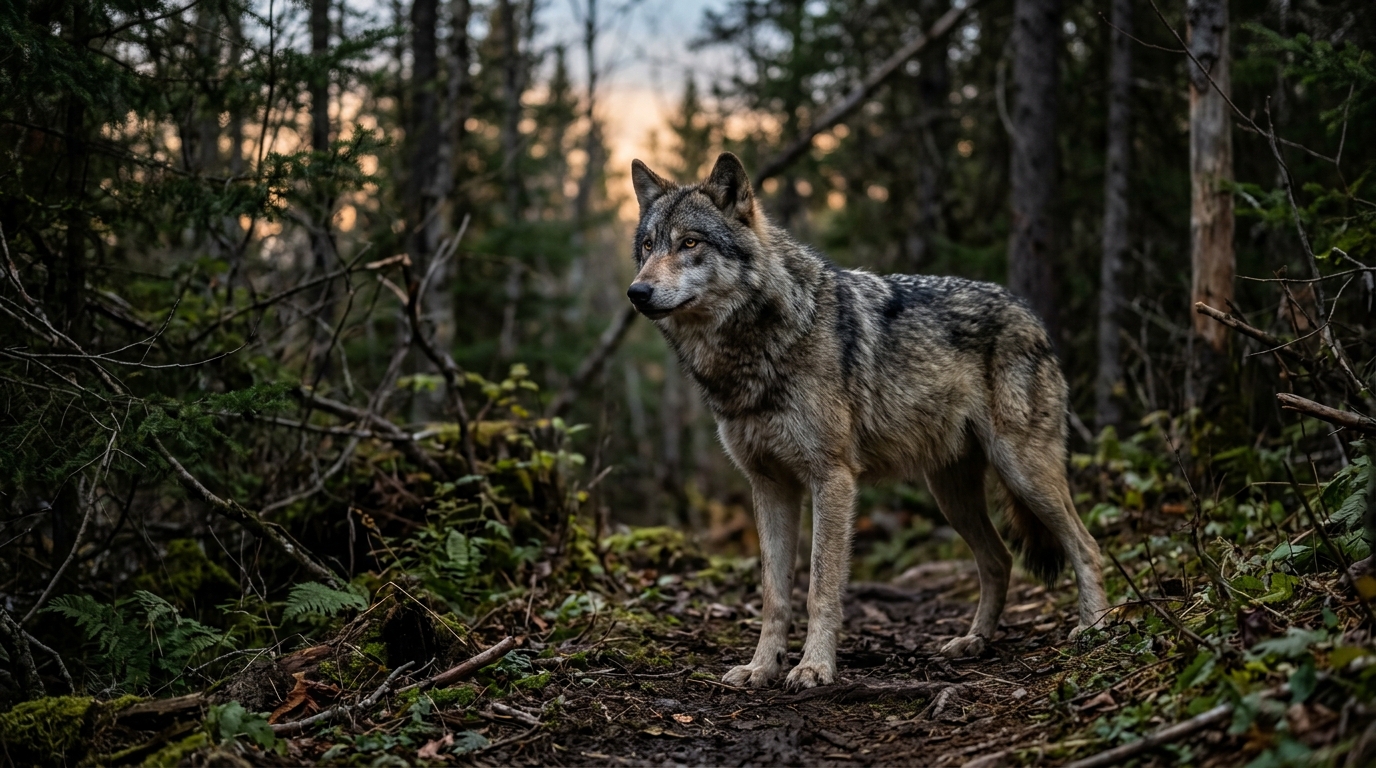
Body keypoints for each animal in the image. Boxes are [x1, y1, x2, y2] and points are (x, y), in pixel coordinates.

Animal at [626, 152, 1109, 690]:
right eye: (648, 246)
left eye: (689, 242)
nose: (637, 292)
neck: (757, 347)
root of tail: (1029, 312)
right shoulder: (769, 485)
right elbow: (774, 595)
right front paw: (761, 668)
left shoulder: (832, 478)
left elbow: (819, 588)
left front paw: (814, 667)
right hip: (952, 495)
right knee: (999, 559)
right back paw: (973, 642)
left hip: (1023, 472)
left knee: (1087, 545)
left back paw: (1095, 630)